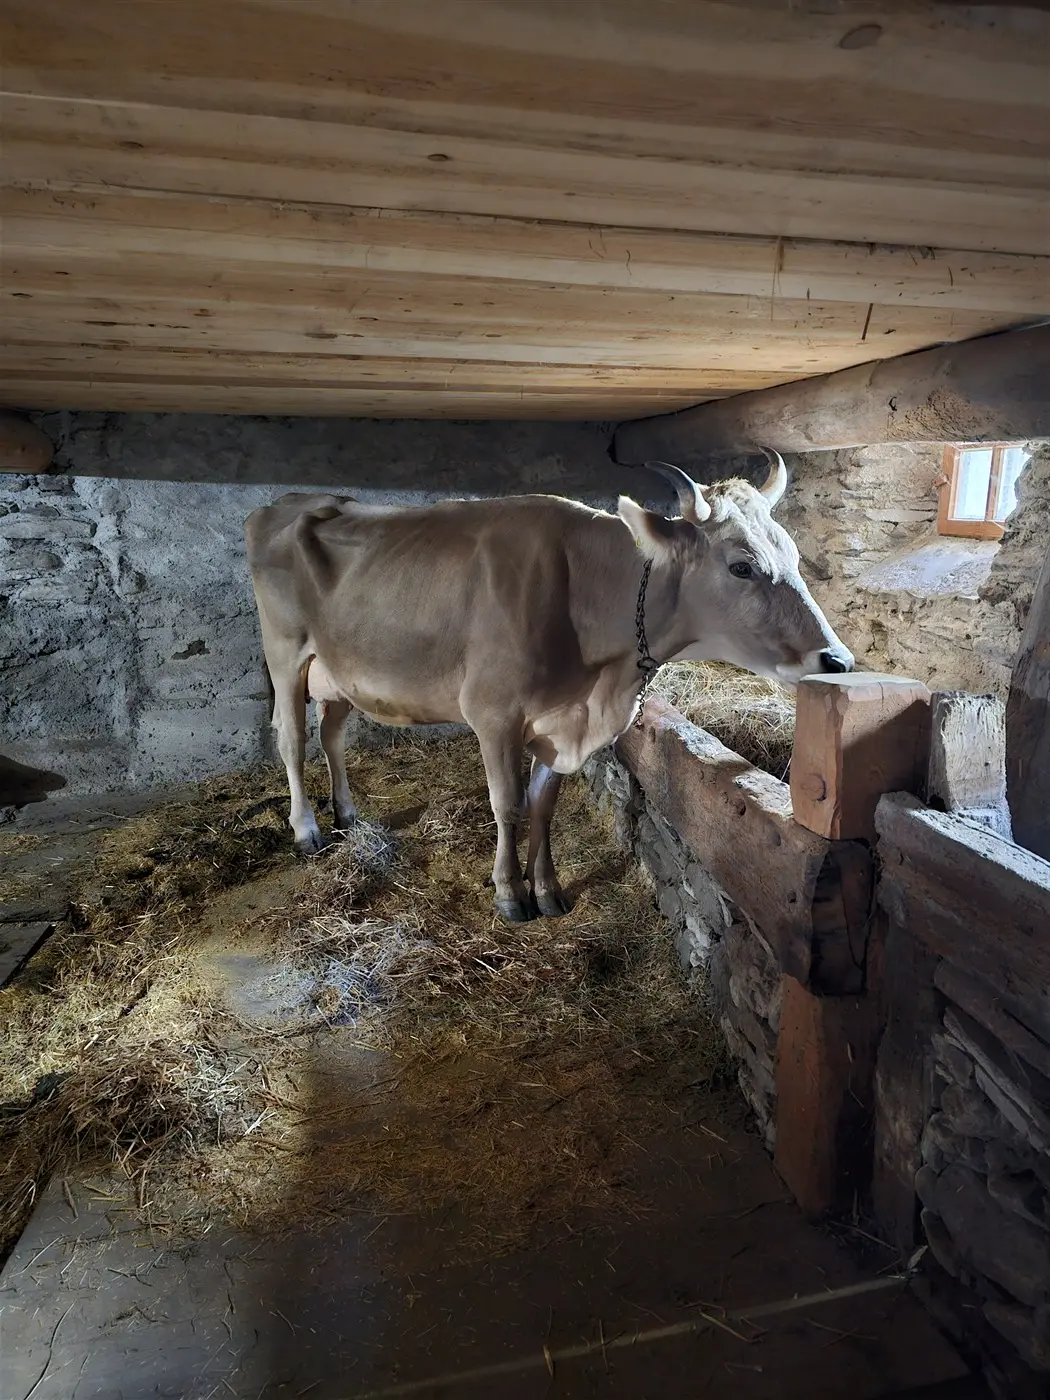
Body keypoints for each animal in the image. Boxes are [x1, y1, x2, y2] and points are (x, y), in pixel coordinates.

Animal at [244, 453, 853, 922]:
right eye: (741, 566)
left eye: (793, 555)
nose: (837, 659)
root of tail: (284, 502)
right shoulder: (493, 714)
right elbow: (508, 804)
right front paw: (510, 893)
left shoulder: (559, 721)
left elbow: (543, 806)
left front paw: (548, 888)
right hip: (286, 653)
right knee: (292, 739)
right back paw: (306, 829)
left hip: (338, 670)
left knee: (331, 734)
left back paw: (347, 814)